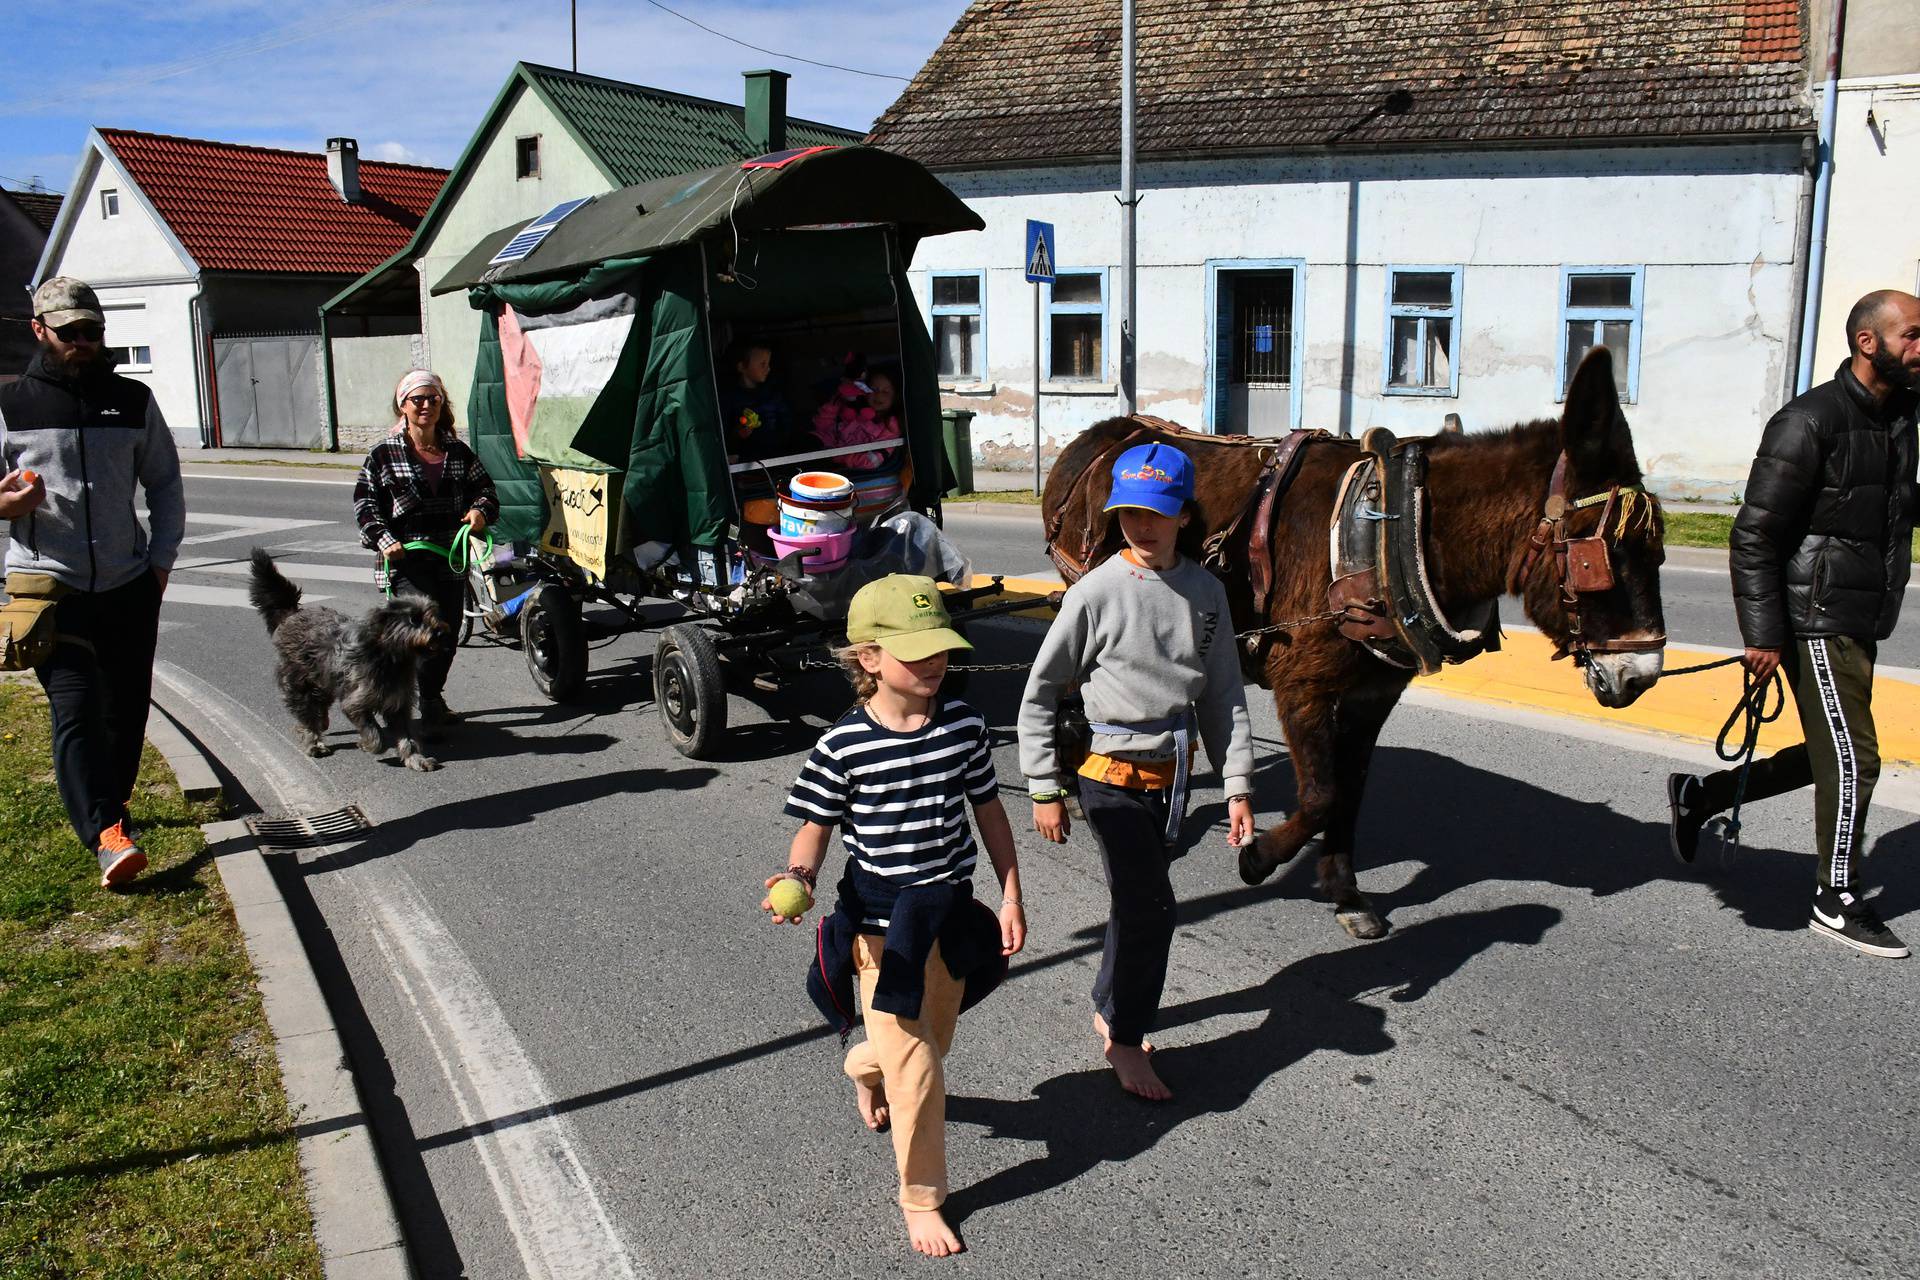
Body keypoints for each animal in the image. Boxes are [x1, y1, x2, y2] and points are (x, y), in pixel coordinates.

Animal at [249, 548, 447, 771]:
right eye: (414, 619)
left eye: (432, 614)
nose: (440, 632)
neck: (388, 657)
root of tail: (292, 615)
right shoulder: (356, 701)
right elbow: (373, 732)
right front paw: (367, 744)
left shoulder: (398, 704)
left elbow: (408, 738)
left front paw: (416, 759)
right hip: (300, 684)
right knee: (307, 716)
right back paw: (314, 744)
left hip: (323, 681)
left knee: (319, 708)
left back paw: (323, 723)